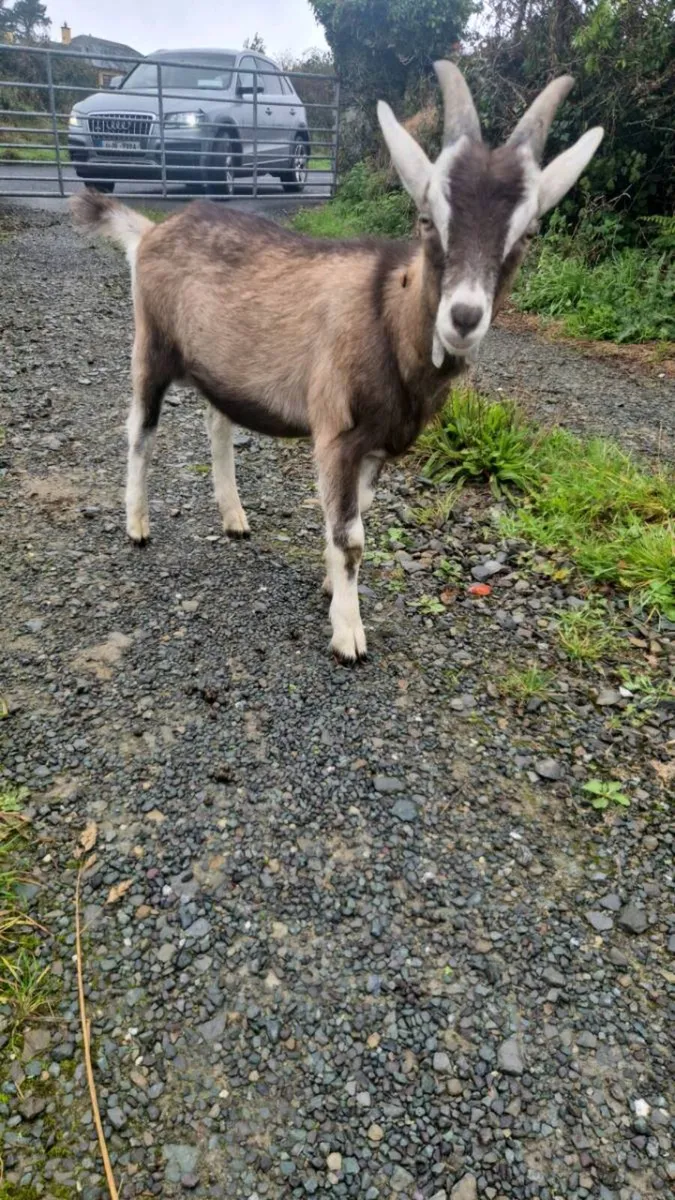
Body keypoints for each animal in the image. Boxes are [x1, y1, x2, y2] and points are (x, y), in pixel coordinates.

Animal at [71, 63, 603, 663]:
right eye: (426, 218)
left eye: (528, 233)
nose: (464, 317)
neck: (388, 318)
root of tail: (150, 232)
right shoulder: (337, 435)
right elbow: (351, 538)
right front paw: (348, 633)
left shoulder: (375, 447)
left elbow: (350, 519)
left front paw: (331, 586)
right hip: (152, 347)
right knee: (140, 430)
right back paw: (137, 525)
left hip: (222, 368)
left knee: (217, 423)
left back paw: (234, 518)